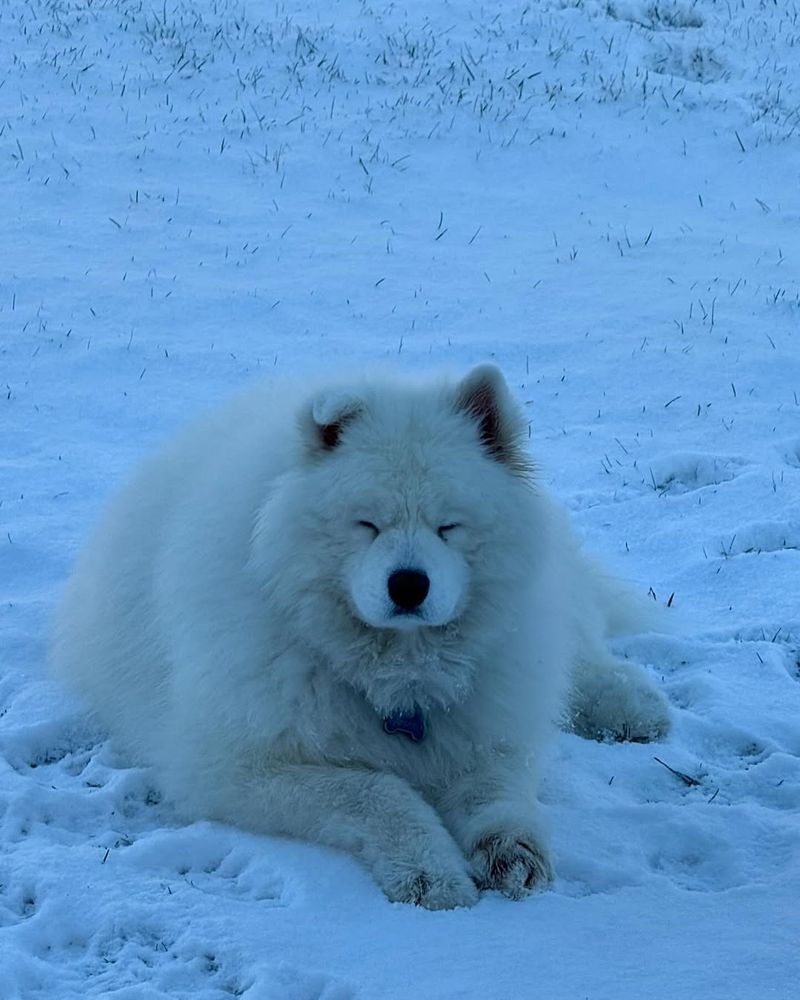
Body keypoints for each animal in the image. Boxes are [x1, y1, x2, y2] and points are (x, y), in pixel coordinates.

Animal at [53, 366, 672, 908]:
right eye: (367, 524)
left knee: (585, 648)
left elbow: (498, 791)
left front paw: (512, 851)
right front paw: (432, 874)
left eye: (448, 526)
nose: (409, 584)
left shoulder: (488, 727)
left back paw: (633, 706)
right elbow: (377, 793)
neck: (401, 680)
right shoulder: (231, 768)